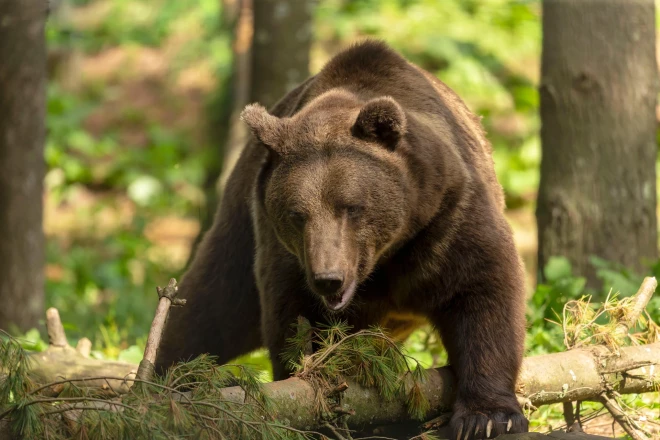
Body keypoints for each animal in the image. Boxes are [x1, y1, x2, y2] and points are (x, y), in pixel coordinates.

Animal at [155, 41, 524, 440]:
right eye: (296, 214)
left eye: (352, 206)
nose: (328, 278)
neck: (387, 259)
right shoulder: (287, 257)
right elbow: (296, 324)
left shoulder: (448, 218)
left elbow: (482, 292)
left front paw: (487, 416)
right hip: (240, 228)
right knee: (209, 309)